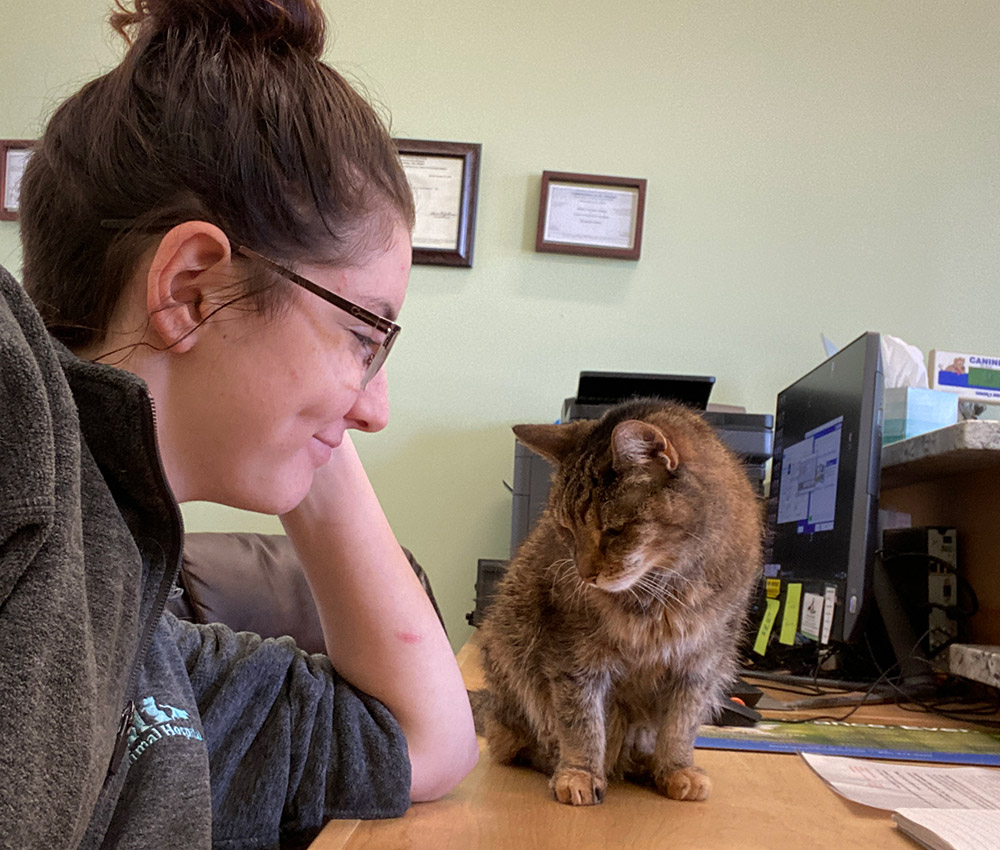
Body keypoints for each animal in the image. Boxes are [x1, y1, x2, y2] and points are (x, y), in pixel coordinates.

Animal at [474, 394, 756, 804]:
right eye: (565, 529)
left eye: (614, 531)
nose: (585, 575)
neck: (661, 592)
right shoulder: (573, 658)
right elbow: (582, 724)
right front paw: (580, 773)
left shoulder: (702, 664)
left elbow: (681, 725)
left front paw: (676, 768)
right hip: (508, 647)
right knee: (515, 740)